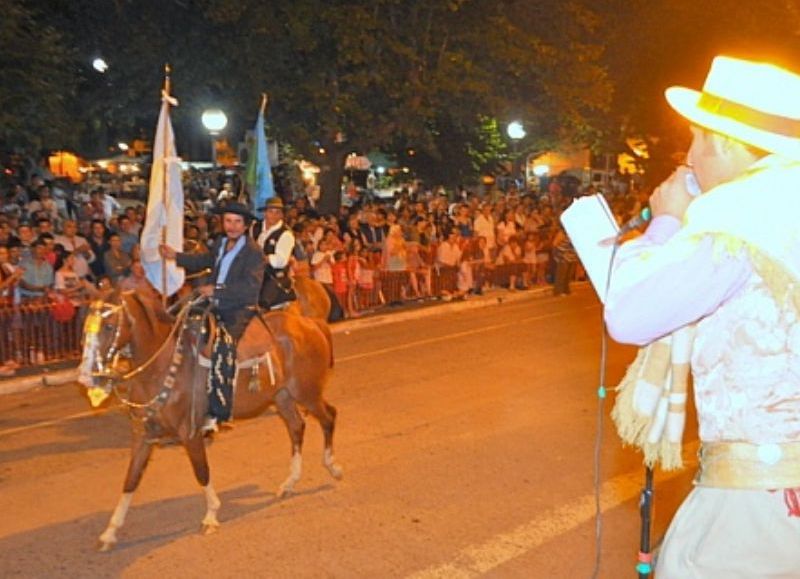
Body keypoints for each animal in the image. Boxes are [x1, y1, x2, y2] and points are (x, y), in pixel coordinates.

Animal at [80, 288, 340, 552]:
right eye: (85, 328)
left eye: (109, 326)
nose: (86, 377)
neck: (164, 366)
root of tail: (310, 322)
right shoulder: (144, 434)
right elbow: (131, 480)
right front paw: (110, 532)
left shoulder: (190, 432)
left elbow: (202, 472)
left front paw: (211, 516)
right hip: (283, 396)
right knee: (297, 427)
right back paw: (290, 482)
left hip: (307, 393)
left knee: (329, 417)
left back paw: (332, 467)